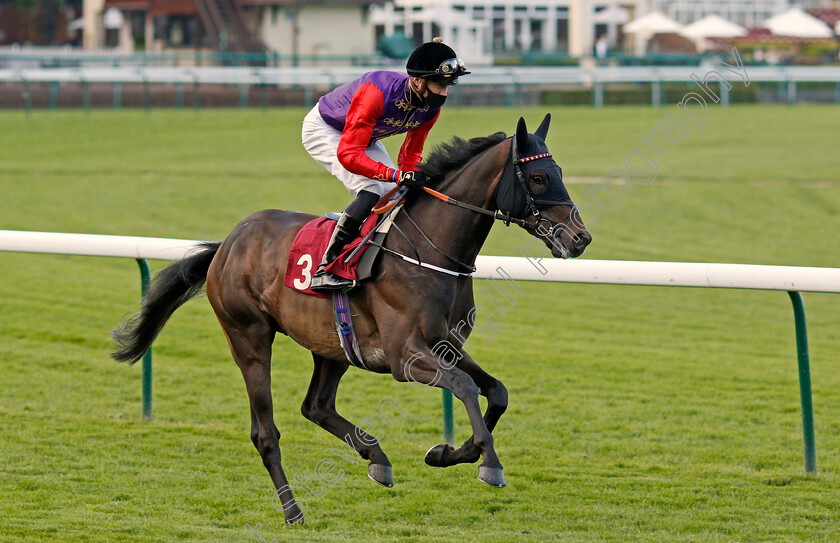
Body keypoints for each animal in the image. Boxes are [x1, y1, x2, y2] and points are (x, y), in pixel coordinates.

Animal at [113, 113, 592, 524]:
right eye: (537, 177)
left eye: (559, 171)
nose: (580, 237)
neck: (429, 251)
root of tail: (227, 243)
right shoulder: (405, 358)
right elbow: (465, 387)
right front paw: (489, 463)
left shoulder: (446, 345)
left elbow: (496, 391)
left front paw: (447, 453)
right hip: (248, 336)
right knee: (265, 431)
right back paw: (293, 509)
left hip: (332, 344)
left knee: (316, 405)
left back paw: (376, 459)